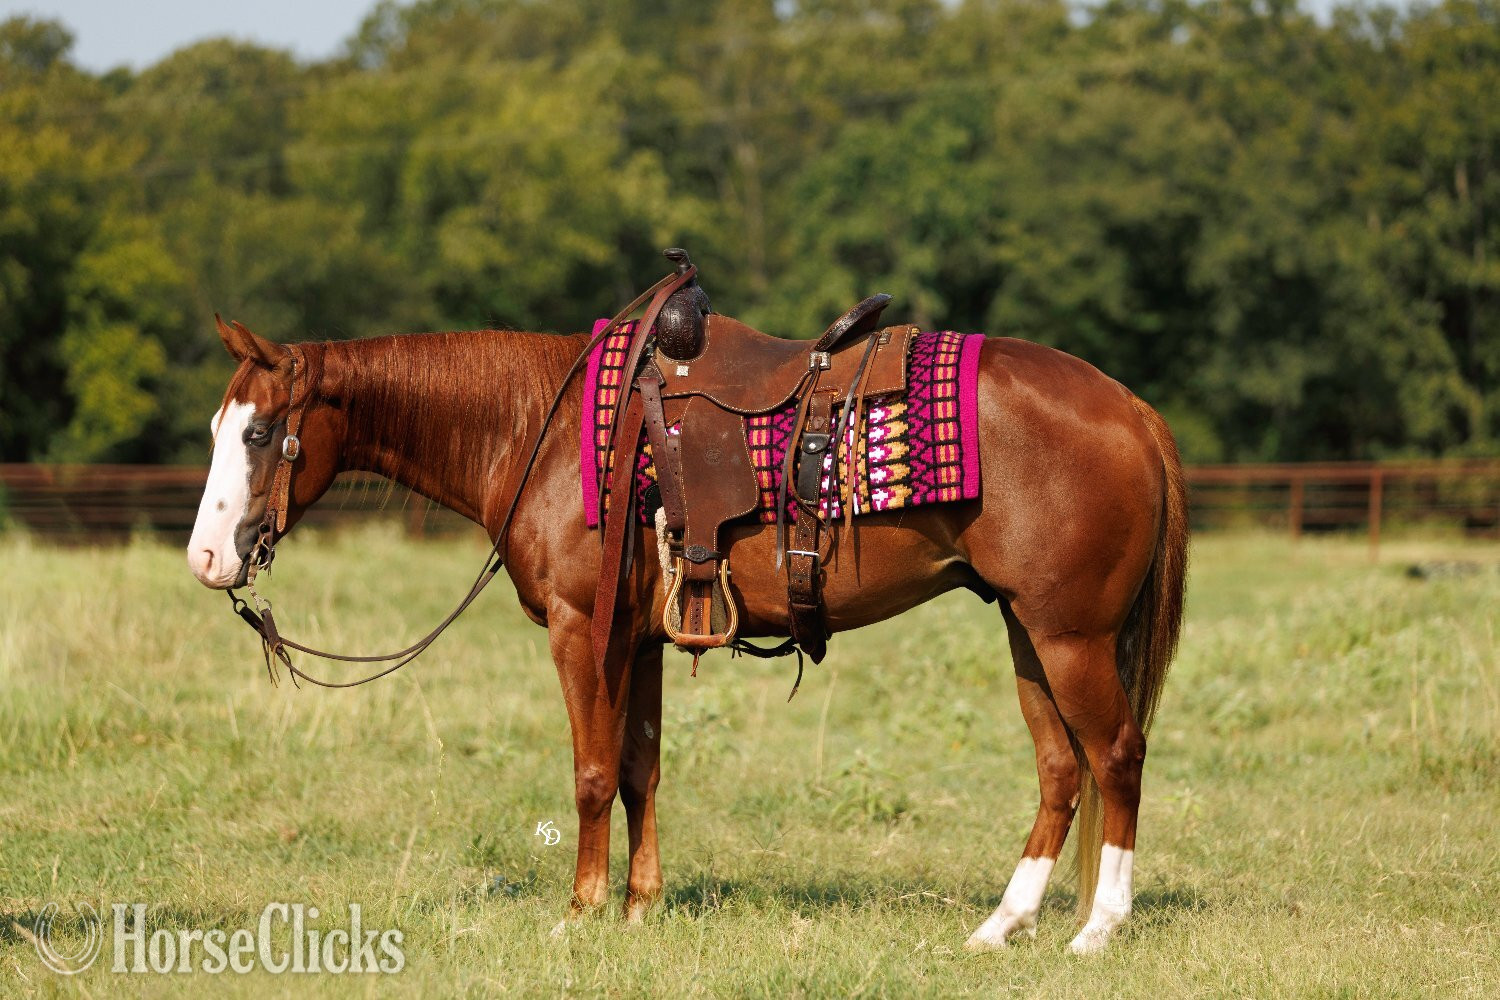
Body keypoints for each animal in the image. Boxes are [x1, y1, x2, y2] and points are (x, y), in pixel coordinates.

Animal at [188, 303, 1187, 955]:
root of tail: (1131, 407)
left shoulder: (581, 630)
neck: (543, 429)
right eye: (216, 428)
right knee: (1061, 770)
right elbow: (641, 769)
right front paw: (640, 905)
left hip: (1070, 637)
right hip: (1028, 631)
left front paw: (583, 911)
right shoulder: (638, 640)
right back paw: (1001, 925)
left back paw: (1099, 929)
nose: (205, 558)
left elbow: (593, 773)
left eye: (259, 434)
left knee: (1117, 756)